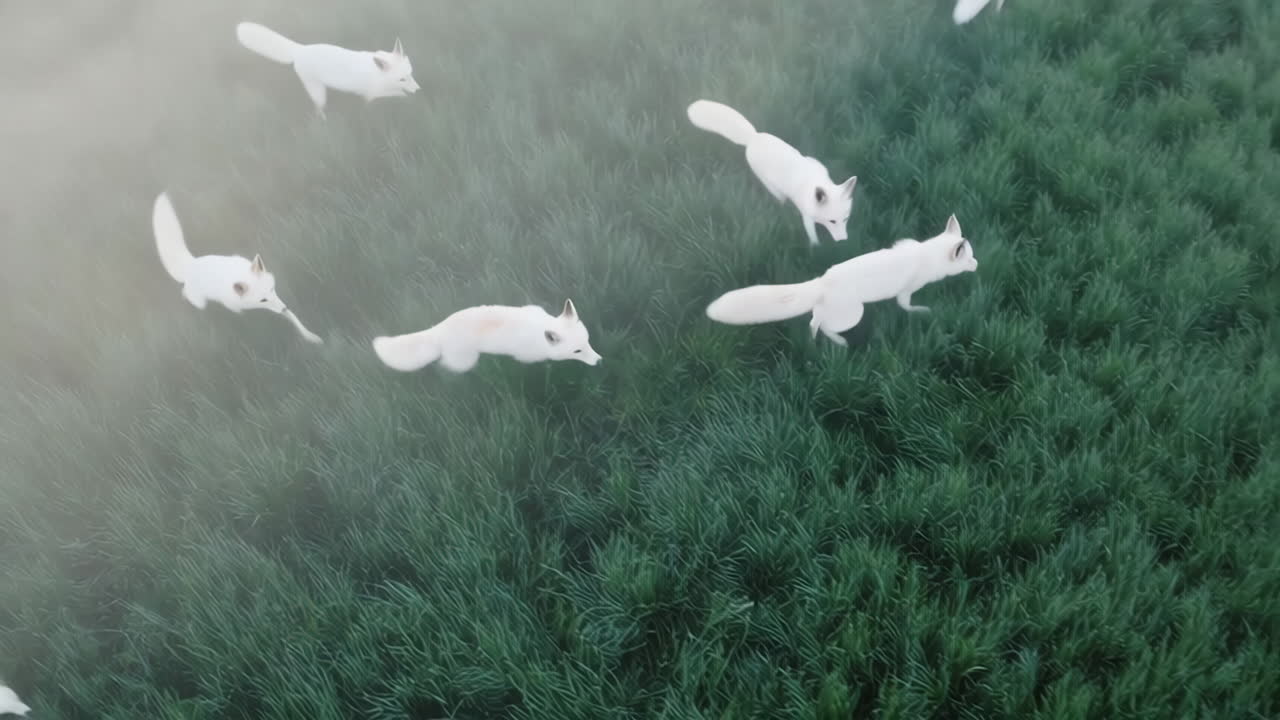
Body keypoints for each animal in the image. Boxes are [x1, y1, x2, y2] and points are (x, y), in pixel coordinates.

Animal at [152, 192, 323, 344]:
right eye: (262, 300)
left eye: (272, 289)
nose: (284, 309)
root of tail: (191, 264)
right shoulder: (236, 306)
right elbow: (241, 314)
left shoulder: (277, 300)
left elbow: (296, 320)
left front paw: (311, 337)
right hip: (200, 301)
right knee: (186, 293)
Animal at [235, 22, 419, 118]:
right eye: (402, 79)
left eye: (410, 74)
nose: (418, 90)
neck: (377, 74)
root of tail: (300, 49)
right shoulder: (371, 94)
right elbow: (399, 95)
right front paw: (410, 100)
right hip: (318, 93)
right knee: (318, 110)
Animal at [372, 299, 603, 373]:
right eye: (577, 351)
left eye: (588, 342)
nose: (600, 362)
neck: (539, 327)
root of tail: (439, 329)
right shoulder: (526, 358)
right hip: (465, 361)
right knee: (444, 366)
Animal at [686, 99, 857, 247]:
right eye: (832, 221)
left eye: (845, 219)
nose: (843, 241)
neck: (817, 183)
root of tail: (753, 137)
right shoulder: (807, 217)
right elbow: (812, 237)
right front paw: (816, 248)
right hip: (773, 188)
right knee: (780, 200)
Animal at [706, 214, 978, 345]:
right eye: (968, 259)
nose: (977, 265)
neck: (926, 253)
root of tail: (821, 281)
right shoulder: (906, 291)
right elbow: (906, 306)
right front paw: (922, 311)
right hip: (854, 314)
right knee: (821, 325)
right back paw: (838, 342)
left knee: (813, 320)